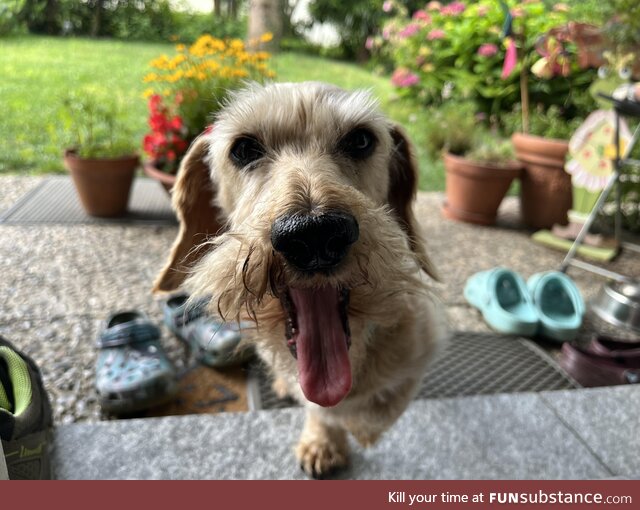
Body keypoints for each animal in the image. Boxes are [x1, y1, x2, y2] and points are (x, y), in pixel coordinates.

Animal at [156, 80, 444, 478]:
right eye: (244, 148)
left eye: (360, 140)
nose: (314, 234)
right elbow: (322, 408)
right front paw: (324, 439)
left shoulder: (418, 356)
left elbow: (378, 409)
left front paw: (360, 428)